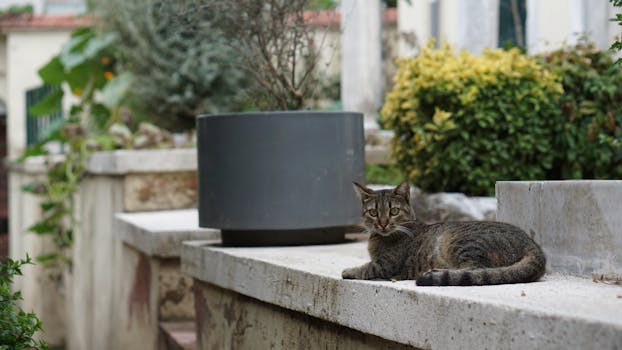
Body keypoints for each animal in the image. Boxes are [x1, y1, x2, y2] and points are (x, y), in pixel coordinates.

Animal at [344, 182, 548, 286]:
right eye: (373, 212)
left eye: (394, 211)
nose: (383, 223)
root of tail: (532, 244)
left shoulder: (386, 265)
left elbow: (367, 267)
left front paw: (349, 271)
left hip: (461, 243)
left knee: (477, 269)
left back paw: (436, 272)